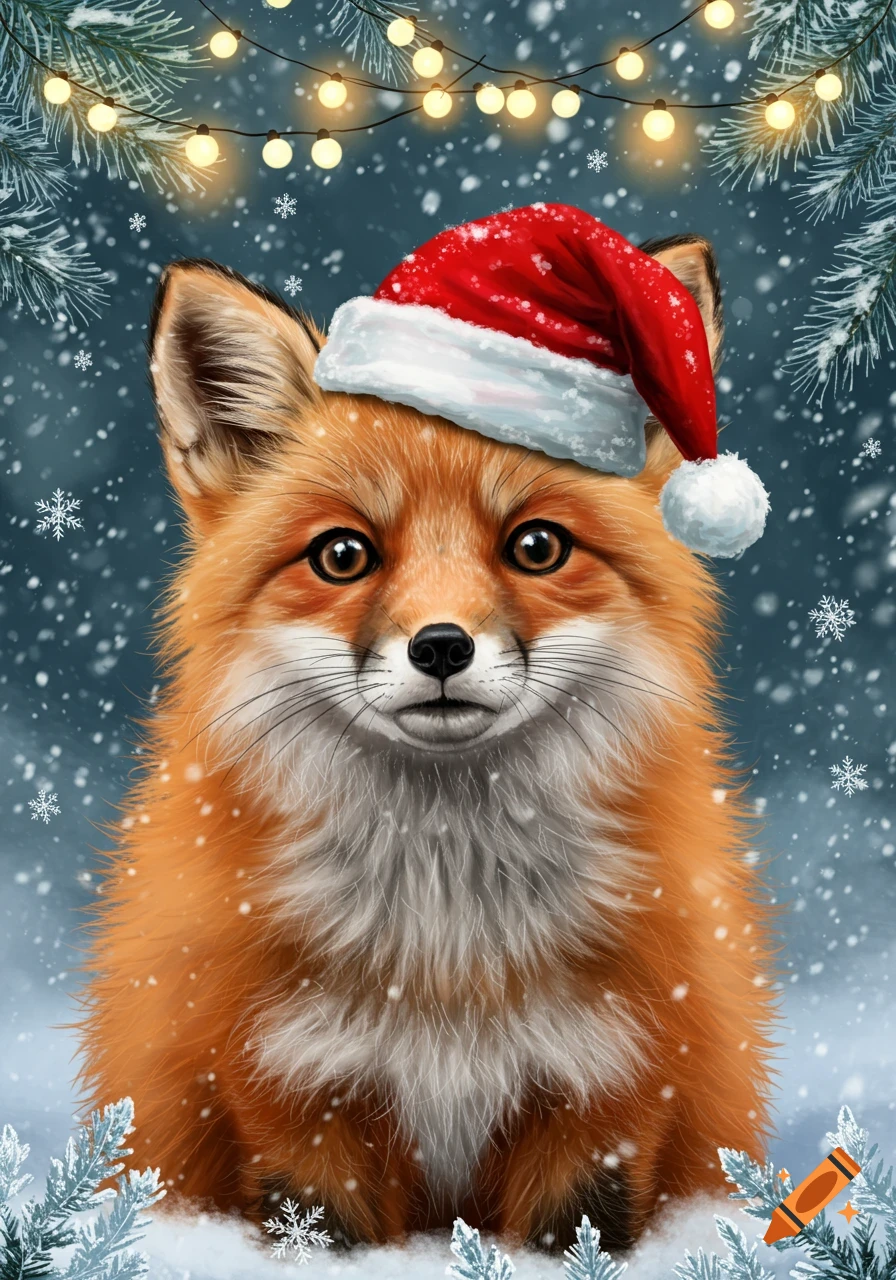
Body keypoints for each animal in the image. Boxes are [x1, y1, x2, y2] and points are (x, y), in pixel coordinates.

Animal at [77, 216, 778, 1252]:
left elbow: (578, 1238)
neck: (447, 951)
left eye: (536, 546)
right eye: (343, 555)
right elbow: (316, 1233)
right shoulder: (290, 1094)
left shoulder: (610, 1088)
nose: (441, 646)